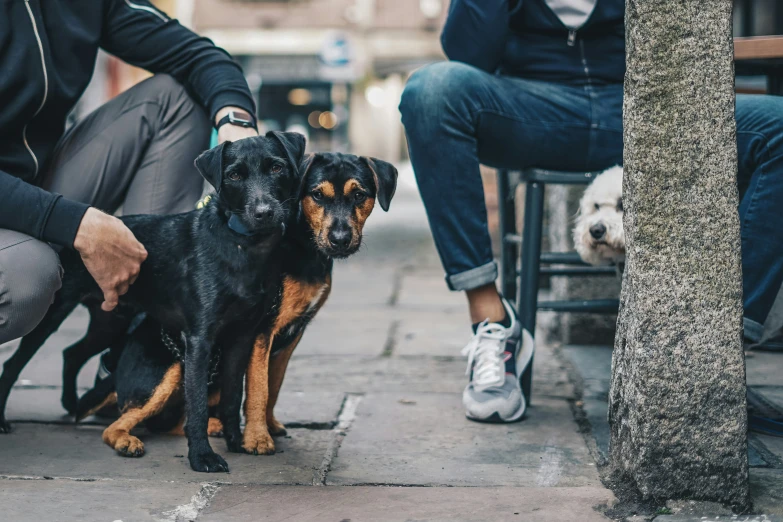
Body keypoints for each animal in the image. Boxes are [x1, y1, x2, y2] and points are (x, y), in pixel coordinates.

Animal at [0, 131, 306, 472]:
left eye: (277, 168)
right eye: (234, 175)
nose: (264, 212)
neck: (242, 245)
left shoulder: (241, 337)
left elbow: (230, 396)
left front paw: (236, 442)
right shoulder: (200, 340)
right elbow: (198, 406)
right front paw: (202, 456)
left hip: (111, 321)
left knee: (72, 353)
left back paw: (71, 404)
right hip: (54, 313)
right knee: (14, 363)